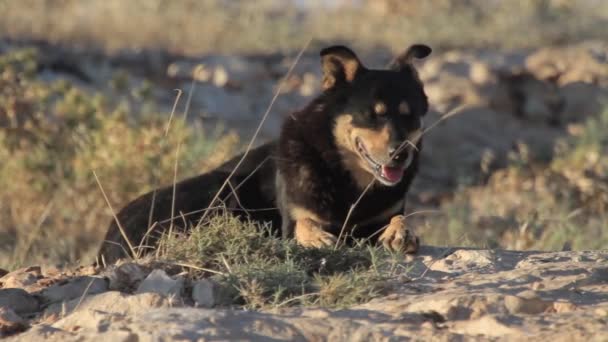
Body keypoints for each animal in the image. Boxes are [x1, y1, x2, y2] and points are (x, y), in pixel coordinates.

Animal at [97, 44, 432, 264]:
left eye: (410, 116)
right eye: (372, 115)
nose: (400, 155)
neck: (344, 175)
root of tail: (108, 242)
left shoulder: (385, 212)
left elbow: (398, 218)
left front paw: (401, 233)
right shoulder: (291, 221)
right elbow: (304, 223)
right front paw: (317, 238)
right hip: (221, 186)